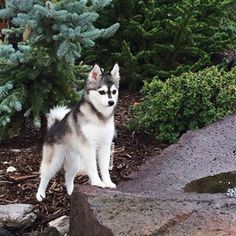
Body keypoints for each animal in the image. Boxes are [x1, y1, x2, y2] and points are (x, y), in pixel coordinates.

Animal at [36, 64, 120, 201]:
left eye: (114, 91)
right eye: (101, 91)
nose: (111, 102)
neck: (100, 116)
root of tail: (53, 127)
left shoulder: (105, 145)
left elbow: (104, 167)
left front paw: (108, 182)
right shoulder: (89, 147)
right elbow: (93, 167)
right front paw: (97, 182)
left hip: (75, 162)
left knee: (68, 176)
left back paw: (71, 193)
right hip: (53, 161)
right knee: (45, 176)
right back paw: (40, 194)